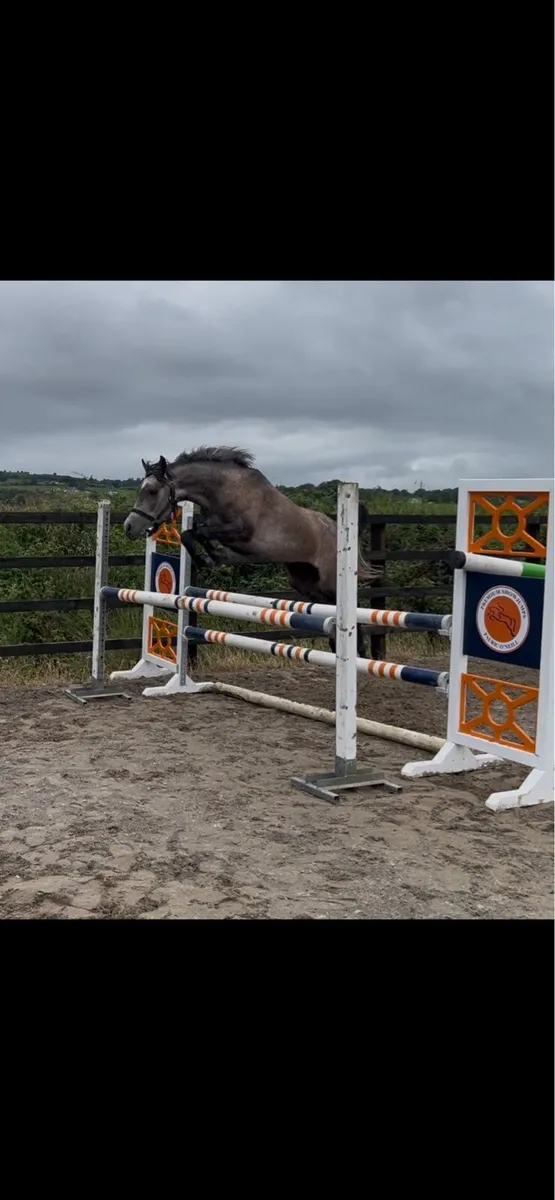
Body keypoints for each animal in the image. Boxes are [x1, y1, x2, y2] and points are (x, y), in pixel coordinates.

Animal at [123, 447, 381, 657]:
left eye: (152, 491)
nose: (129, 526)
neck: (223, 491)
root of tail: (335, 529)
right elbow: (191, 534)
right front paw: (210, 557)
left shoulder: (240, 532)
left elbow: (198, 532)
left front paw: (211, 557)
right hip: (305, 583)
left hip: (330, 583)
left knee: (350, 611)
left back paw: (358, 651)